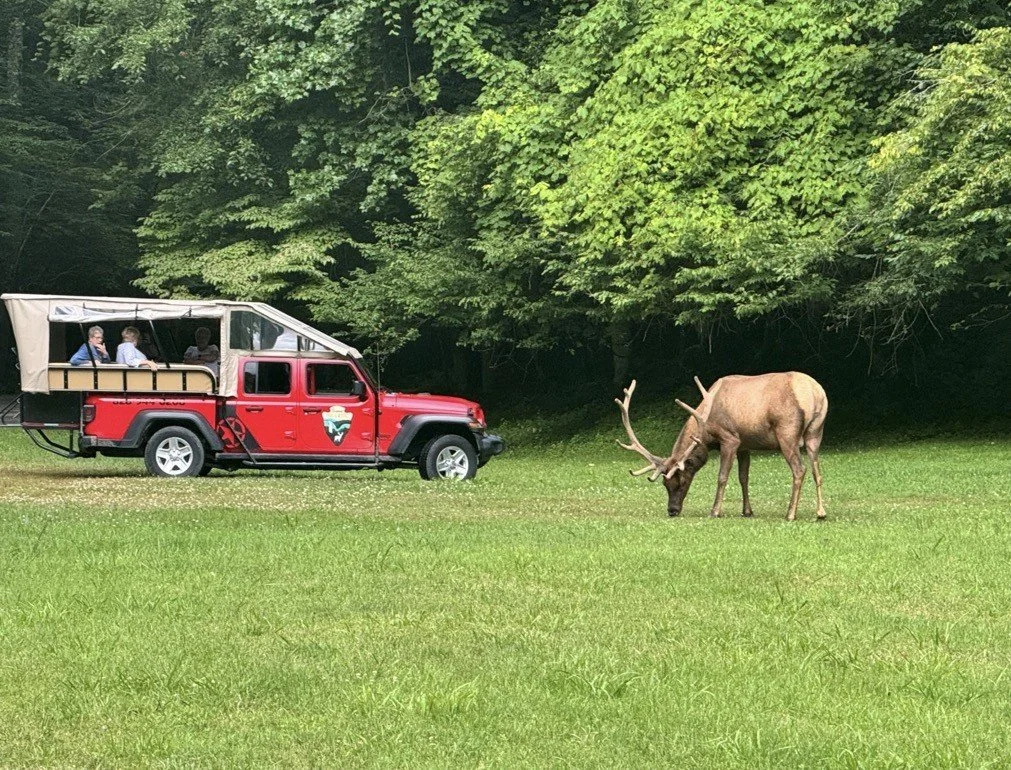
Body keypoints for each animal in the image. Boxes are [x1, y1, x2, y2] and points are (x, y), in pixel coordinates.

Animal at [615, 373, 828, 520]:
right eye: (665, 484)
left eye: (682, 481)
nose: (672, 510)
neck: (706, 430)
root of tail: (815, 393)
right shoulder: (744, 445)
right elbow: (743, 477)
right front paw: (747, 511)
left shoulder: (730, 439)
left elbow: (722, 477)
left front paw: (715, 511)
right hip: (816, 432)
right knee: (817, 471)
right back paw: (821, 512)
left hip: (787, 432)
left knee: (800, 470)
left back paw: (790, 514)